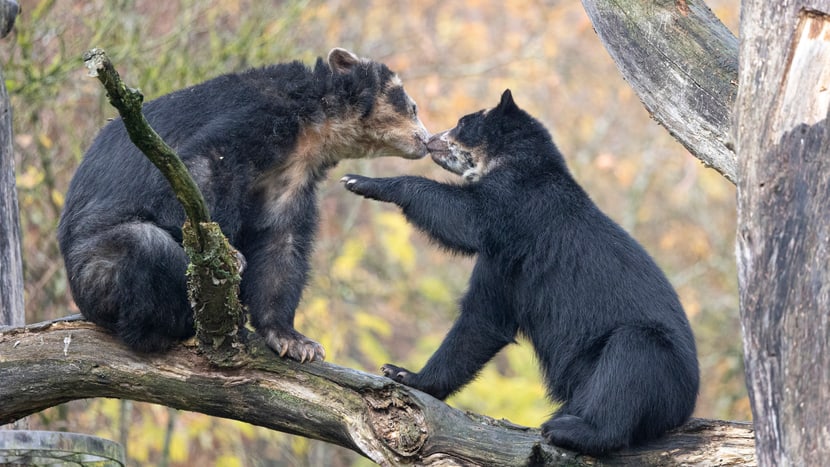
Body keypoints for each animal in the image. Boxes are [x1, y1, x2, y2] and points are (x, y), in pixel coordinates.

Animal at [60, 48, 428, 362]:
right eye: (412, 108)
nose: (426, 140)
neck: (312, 124)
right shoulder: (256, 119)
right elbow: (199, 169)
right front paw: (231, 256)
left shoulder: (293, 173)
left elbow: (281, 240)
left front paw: (296, 342)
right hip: (97, 272)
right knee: (146, 247)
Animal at [342, 89, 700, 456]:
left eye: (462, 122)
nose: (430, 140)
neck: (517, 162)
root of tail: (684, 410)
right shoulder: (503, 261)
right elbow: (485, 320)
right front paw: (404, 374)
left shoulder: (516, 217)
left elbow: (466, 217)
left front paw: (361, 181)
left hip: (656, 364)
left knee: (629, 363)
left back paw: (568, 430)